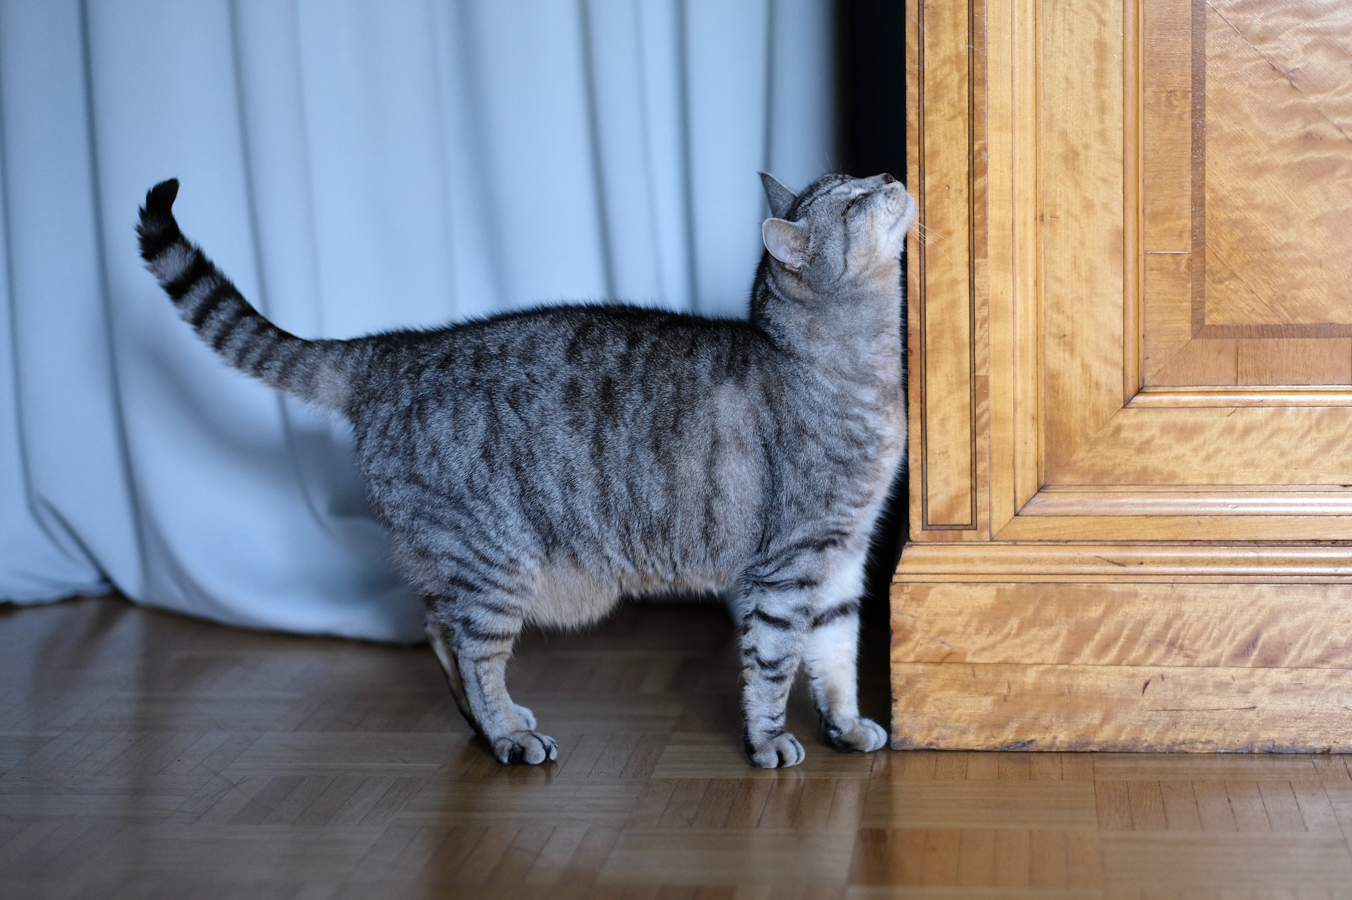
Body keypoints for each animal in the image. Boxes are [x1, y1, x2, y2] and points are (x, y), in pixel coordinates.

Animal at [137, 171, 913, 767]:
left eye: (859, 179)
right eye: (852, 201)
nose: (891, 174)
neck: (867, 378)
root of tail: (390, 350)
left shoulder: (843, 555)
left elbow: (836, 653)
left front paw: (846, 725)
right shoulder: (787, 565)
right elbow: (775, 664)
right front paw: (770, 740)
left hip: (455, 559)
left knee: (438, 629)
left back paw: (489, 727)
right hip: (495, 561)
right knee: (471, 648)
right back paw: (508, 732)